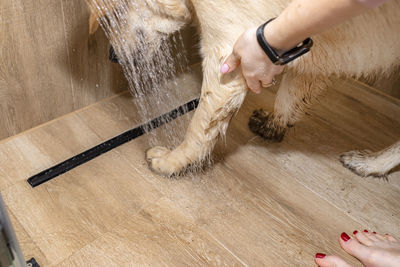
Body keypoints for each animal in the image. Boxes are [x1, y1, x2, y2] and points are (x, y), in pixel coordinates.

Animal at [87, 1, 400, 180]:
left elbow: (198, 128)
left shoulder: (227, 52)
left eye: (114, 12)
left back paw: (370, 163)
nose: (112, 57)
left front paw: (172, 162)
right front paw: (275, 124)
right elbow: (291, 93)